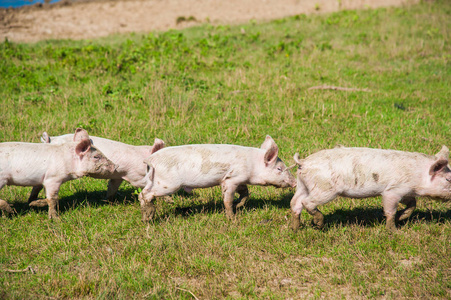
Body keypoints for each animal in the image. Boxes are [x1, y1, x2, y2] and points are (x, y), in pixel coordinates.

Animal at [139, 136, 298, 223]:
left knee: (143, 194)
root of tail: (151, 159)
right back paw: (149, 217)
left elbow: (245, 193)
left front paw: (238, 205)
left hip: (154, 180)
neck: (253, 166)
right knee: (146, 194)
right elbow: (227, 199)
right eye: (279, 169)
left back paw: (147, 218)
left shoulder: (240, 179)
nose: (295, 182)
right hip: (168, 184)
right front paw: (233, 219)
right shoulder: (231, 179)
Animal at [290, 145, 451, 232]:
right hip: (325, 189)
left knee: (295, 203)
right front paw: (394, 231)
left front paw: (401, 217)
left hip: (302, 185)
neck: (418, 175)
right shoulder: (392, 190)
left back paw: (295, 228)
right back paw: (319, 224)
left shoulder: (406, 191)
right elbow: (390, 210)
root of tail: (303, 162)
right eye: (448, 179)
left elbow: (412, 204)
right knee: (307, 202)